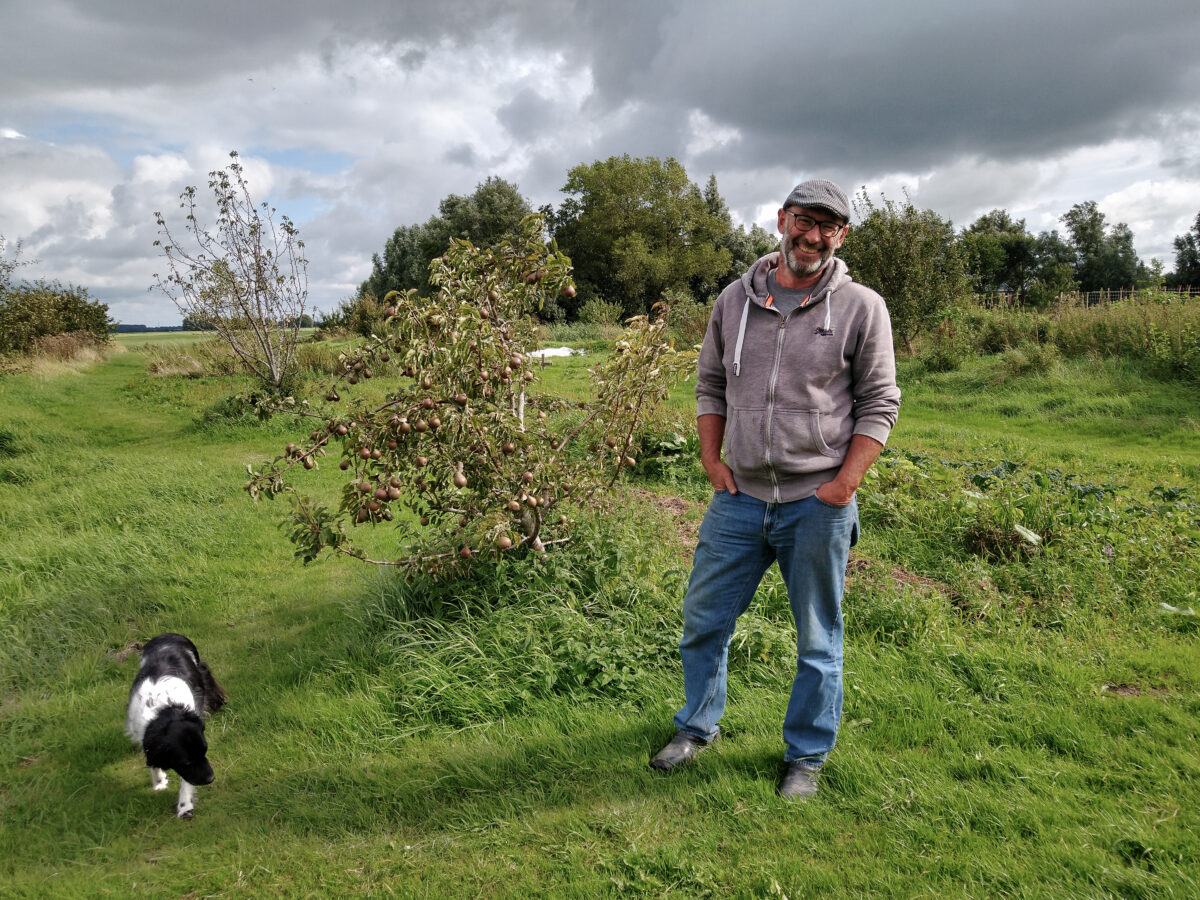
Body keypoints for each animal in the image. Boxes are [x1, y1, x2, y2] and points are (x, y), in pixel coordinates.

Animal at [126, 633, 226, 816]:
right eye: (186, 762)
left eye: (205, 751)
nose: (211, 778)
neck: (165, 711)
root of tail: (167, 634)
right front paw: (160, 781)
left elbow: (186, 781)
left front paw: (185, 806)